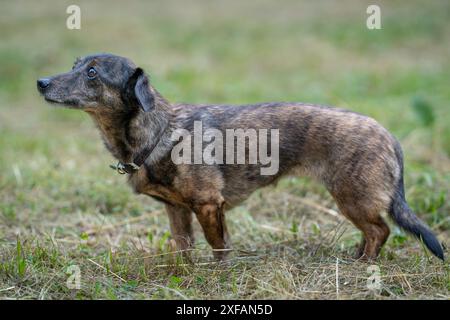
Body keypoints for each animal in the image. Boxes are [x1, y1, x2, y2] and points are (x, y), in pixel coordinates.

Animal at [37, 53, 442, 262]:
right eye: (74, 65)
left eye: (92, 73)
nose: (40, 82)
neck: (160, 130)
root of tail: (389, 136)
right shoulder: (177, 210)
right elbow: (183, 247)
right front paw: (184, 274)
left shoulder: (208, 205)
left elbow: (219, 249)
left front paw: (218, 274)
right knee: (374, 231)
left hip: (352, 197)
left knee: (380, 230)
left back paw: (364, 263)